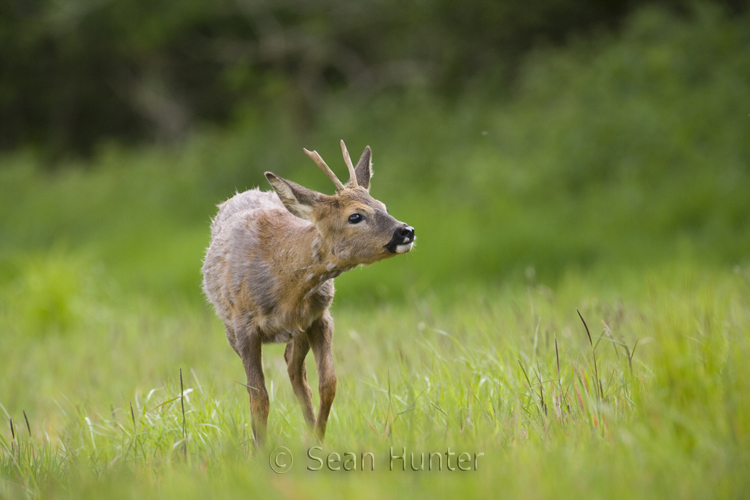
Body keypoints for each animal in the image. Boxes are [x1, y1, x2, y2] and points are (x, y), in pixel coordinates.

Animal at [203, 141, 414, 446]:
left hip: (298, 331)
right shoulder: (244, 327)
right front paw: (259, 449)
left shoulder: (320, 318)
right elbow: (259, 397)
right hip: (232, 329)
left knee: (295, 371)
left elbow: (328, 383)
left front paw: (318, 440)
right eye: (355, 216)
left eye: (383, 205)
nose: (406, 231)